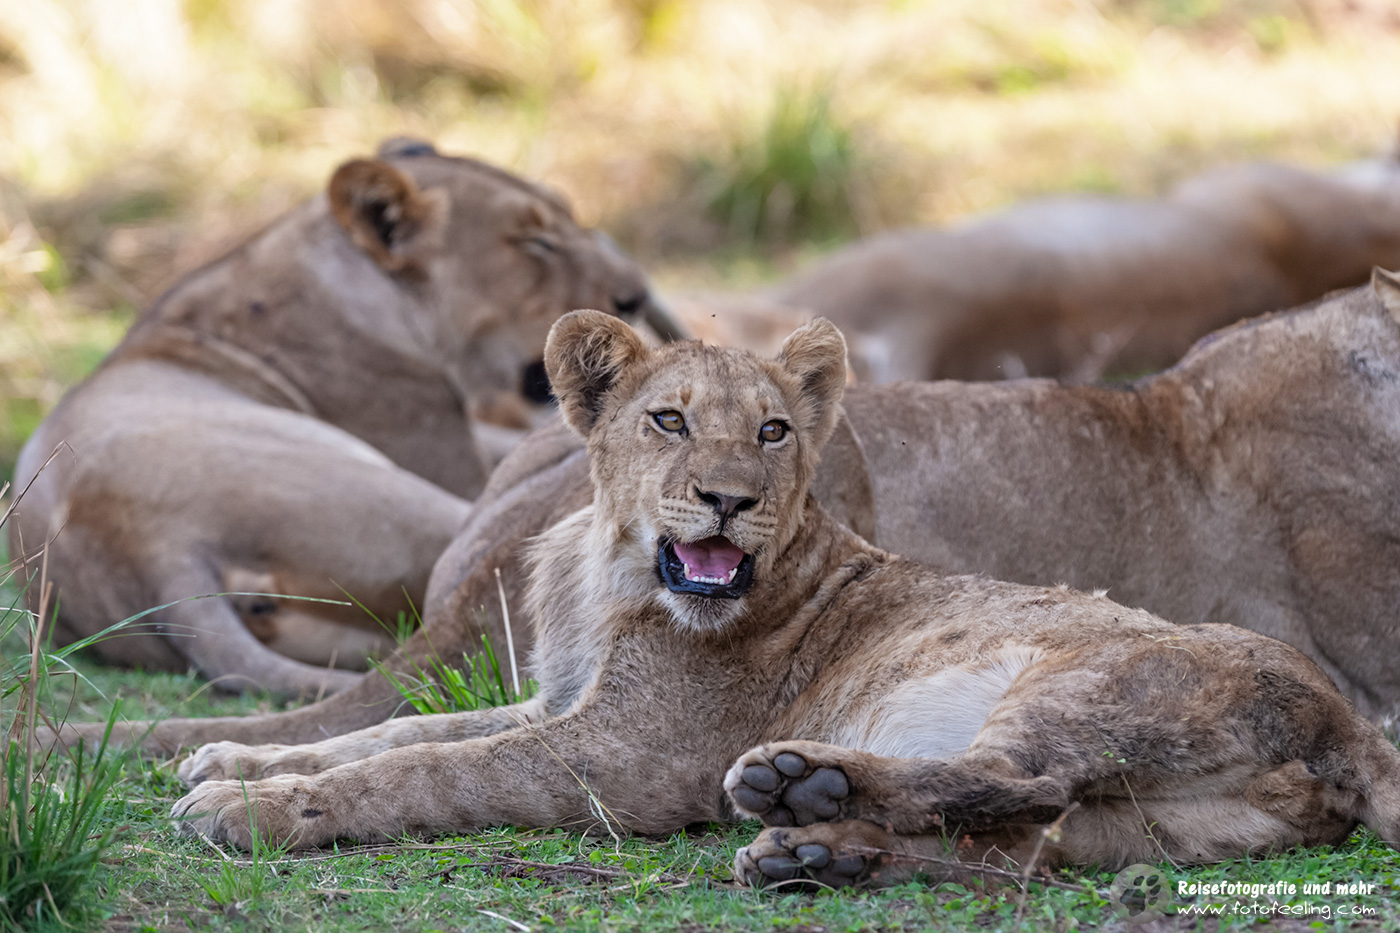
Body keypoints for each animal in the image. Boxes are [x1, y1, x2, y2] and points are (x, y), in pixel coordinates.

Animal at [171, 310, 1400, 891]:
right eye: (668, 419)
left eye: (771, 430)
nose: (728, 500)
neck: (608, 573)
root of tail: (1350, 731)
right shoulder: (559, 704)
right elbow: (405, 729)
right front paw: (232, 760)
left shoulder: (624, 758)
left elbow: (428, 769)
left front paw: (251, 808)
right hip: (1140, 823)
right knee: (1014, 845)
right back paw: (815, 852)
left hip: (1087, 681)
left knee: (1016, 779)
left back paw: (797, 787)